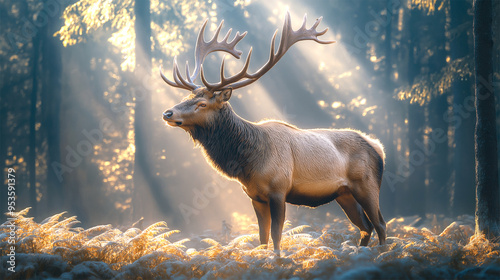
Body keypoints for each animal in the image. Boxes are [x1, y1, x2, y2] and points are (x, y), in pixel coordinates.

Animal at [162, 12, 388, 256]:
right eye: (187, 98)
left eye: (202, 104)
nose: (167, 112)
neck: (248, 163)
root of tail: (378, 147)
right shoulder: (255, 197)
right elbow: (262, 238)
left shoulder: (279, 190)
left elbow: (277, 236)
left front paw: (278, 259)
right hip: (344, 193)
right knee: (365, 227)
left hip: (367, 185)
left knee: (380, 224)